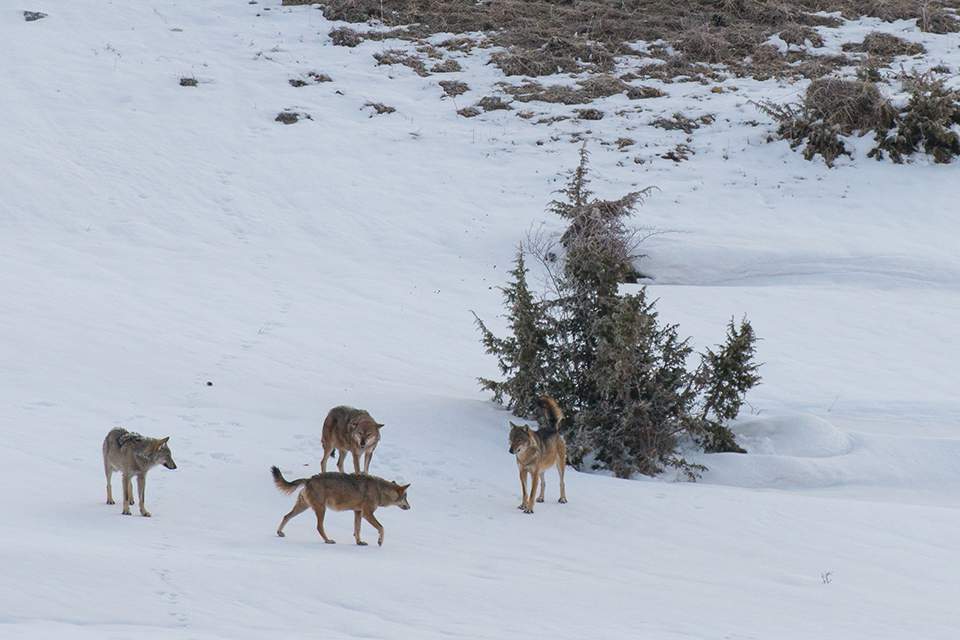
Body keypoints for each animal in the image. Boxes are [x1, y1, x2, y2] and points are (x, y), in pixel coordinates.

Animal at [270, 464, 408, 544]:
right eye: (406, 497)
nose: (410, 507)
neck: (379, 490)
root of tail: (309, 479)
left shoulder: (358, 512)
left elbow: (357, 529)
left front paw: (359, 542)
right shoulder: (367, 514)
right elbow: (382, 528)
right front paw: (380, 541)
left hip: (303, 507)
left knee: (286, 516)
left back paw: (280, 533)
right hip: (321, 509)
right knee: (319, 526)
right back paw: (328, 540)